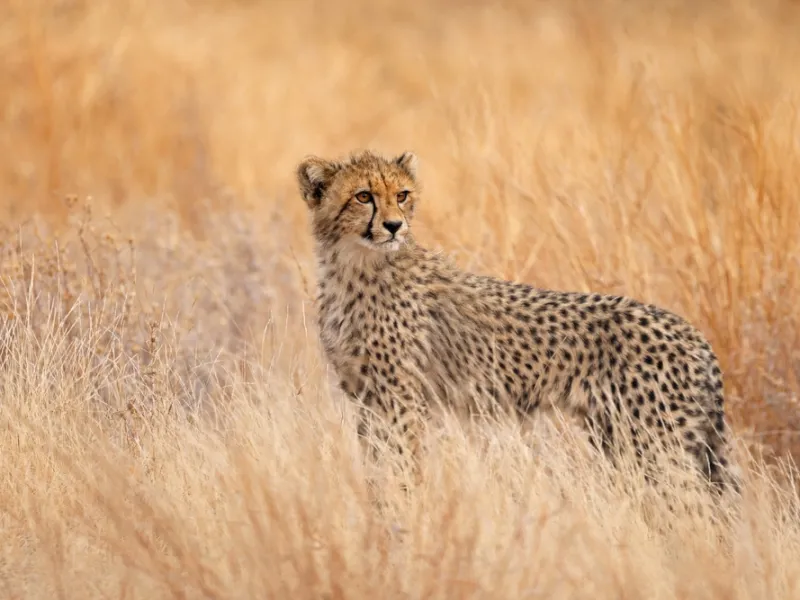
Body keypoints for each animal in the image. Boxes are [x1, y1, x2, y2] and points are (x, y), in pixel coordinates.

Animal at [296, 149, 740, 496]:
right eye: (363, 196)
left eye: (402, 195)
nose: (393, 225)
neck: (354, 266)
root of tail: (694, 333)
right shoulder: (367, 397)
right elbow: (376, 463)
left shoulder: (400, 399)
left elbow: (401, 466)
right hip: (621, 439)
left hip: (657, 445)